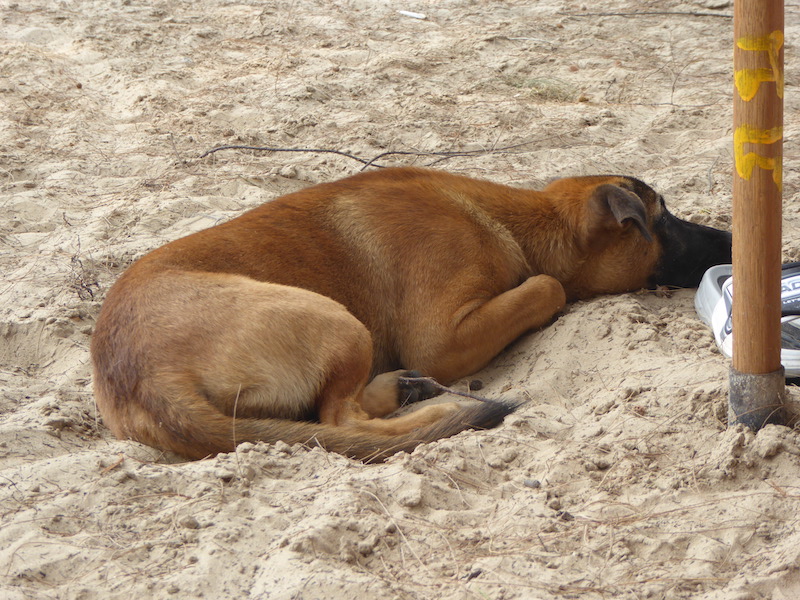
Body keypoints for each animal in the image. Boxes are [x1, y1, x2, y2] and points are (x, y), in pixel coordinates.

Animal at [92, 166, 732, 462]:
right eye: (666, 220)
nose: (731, 240)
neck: (518, 222)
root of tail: (146, 380)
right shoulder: (442, 339)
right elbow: (547, 285)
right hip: (337, 321)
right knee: (341, 419)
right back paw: (429, 402)